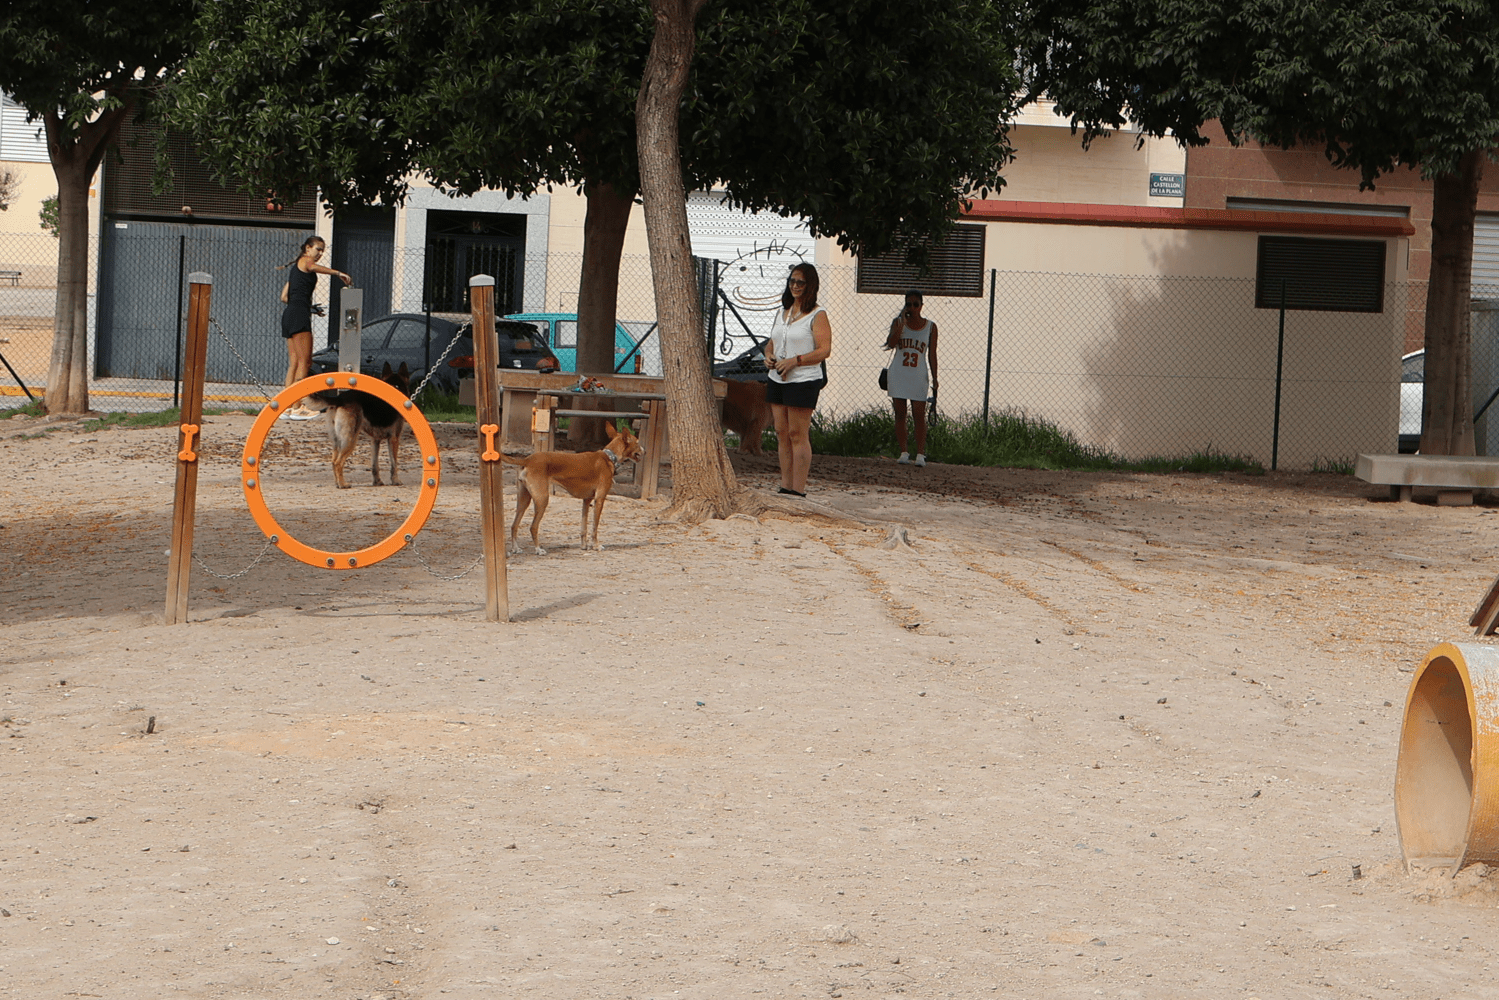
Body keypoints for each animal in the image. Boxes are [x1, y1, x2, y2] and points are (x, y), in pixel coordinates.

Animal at [501, 422, 643, 555]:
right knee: (533, 527)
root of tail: (527, 459)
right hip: (542, 499)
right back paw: (538, 549)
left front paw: (584, 546)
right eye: (637, 442)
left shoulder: (587, 500)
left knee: (514, 525)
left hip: (523, 500)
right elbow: (594, 527)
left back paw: (515, 548)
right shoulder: (599, 499)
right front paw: (596, 546)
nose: (645, 450)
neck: (609, 457)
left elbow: (584, 527)